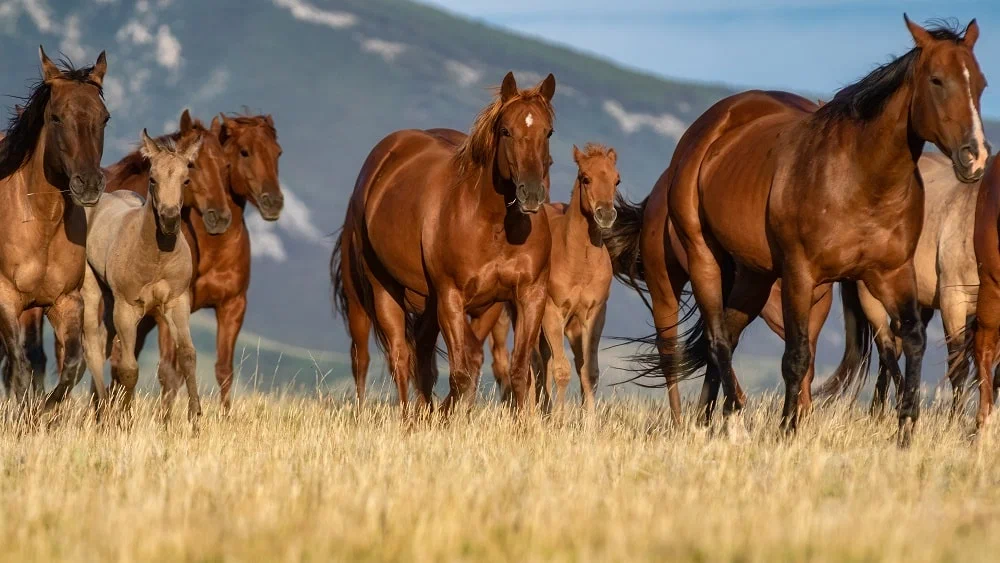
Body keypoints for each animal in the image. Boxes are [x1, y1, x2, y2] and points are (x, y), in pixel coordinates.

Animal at [0, 47, 109, 410]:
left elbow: (72, 366)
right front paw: (24, 415)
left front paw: (45, 410)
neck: (41, 223)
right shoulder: (6, 299)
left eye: (105, 118)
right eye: (57, 117)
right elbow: (20, 369)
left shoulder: (65, 302)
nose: (88, 183)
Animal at [82, 130, 203, 426]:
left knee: (103, 339)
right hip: (93, 289)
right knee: (92, 346)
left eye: (186, 179)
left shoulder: (177, 302)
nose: (169, 220)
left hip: (110, 300)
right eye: (152, 178)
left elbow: (187, 355)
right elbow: (129, 368)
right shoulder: (127, 308)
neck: (156, 256)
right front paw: (125, 419)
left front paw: (195, 418)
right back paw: (104, 412)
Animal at [334, 72, 556, 412]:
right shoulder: (450, 297)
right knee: (387, 357)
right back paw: (401, 417)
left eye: (548, 132)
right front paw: (444, 416)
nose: (531, 193)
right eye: (506, 130)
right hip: (374, 291)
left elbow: (516, 372)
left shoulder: (526, 296)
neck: (494, 227)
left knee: (422, 357)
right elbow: (461, 374)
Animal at [490, 143, 620, 412]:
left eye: (617, 180)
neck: (580, 262)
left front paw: (588, 420)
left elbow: (589, 372)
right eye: (586, 178)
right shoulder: (552, 311)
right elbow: (561, 371)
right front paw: (559, 417)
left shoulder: (594, 316)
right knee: (534, 363)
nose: (605, 215)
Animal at [632, 16, 984, 446]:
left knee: (727, 336)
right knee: (717, 339)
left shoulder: (891, 274)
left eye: (980, 83)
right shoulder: (802, 275)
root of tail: (709, 129)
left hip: (755, 275)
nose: (975, 156)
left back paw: (714, 419)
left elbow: (912, 339)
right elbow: (796, 356)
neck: (859, 178)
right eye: (936, 80)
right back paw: (735, 422)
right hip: (703, 259)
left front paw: (905, 431)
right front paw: (787, 430)